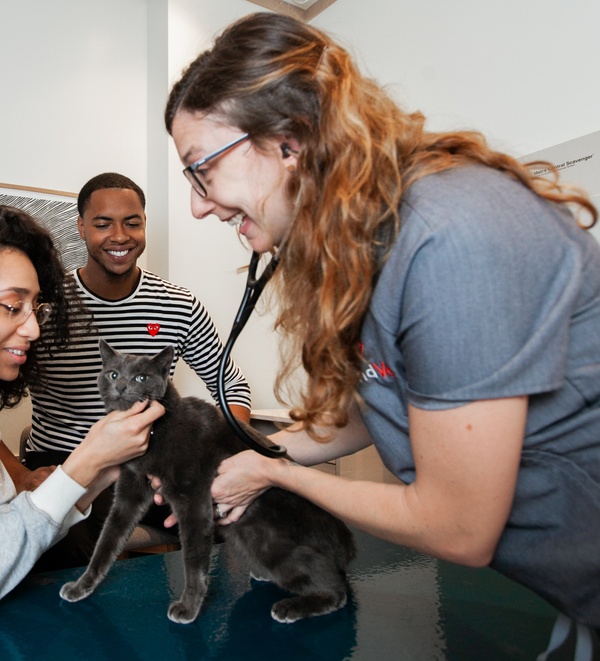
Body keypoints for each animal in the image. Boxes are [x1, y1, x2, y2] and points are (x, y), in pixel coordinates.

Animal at [58, 340, 354, 624]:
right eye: (113, 373)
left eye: (141, 377)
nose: (120, 386)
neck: (156, 430)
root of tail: (346, 544)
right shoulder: (130, 489)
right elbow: (107, 540)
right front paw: (81, 586)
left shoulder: (193, 496)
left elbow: (193, 557)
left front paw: (188, 608)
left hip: (266, 539)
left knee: (337, 590)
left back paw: (291, 606)